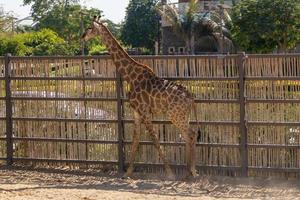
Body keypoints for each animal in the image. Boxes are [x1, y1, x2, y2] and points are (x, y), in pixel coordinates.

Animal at [81, 16, 199, 178]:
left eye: (90, 28)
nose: (82, 37)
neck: (130, 76)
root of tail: (191, 98)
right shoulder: (136, 112)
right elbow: (136, 139)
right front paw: (128, 172)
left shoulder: (144, 112)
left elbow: (154, 139)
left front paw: (169, 173)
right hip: (183, 115)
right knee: (189, 135)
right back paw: (189, 171)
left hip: (175, 115)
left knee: (191, 134)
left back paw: (192, 171)